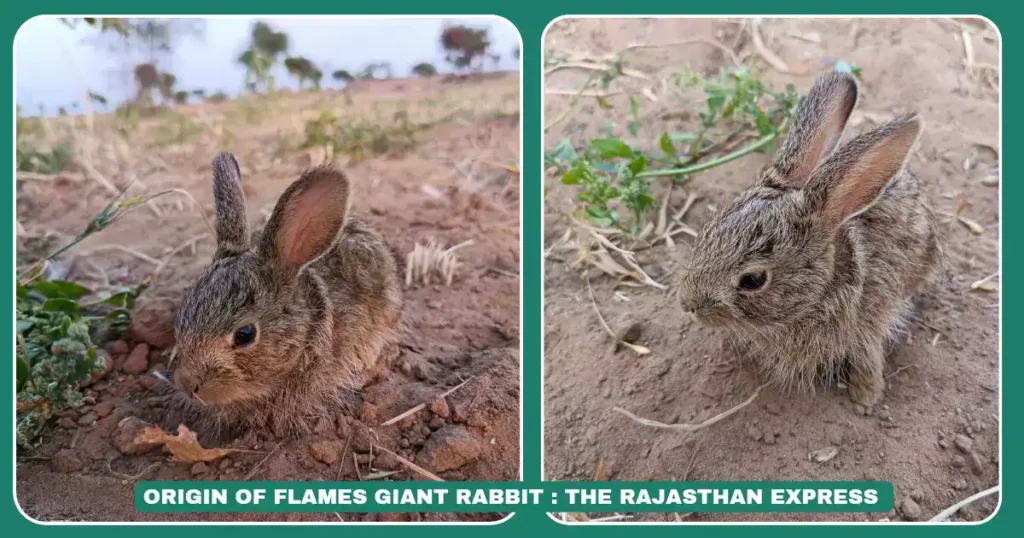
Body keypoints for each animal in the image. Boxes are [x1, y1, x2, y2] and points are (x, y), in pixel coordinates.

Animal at [679, 71, 942, 407]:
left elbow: (868, 354)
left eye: (753, 280)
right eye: (705, 232)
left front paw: (866, 396)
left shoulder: (872, 318)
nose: (688, 304)